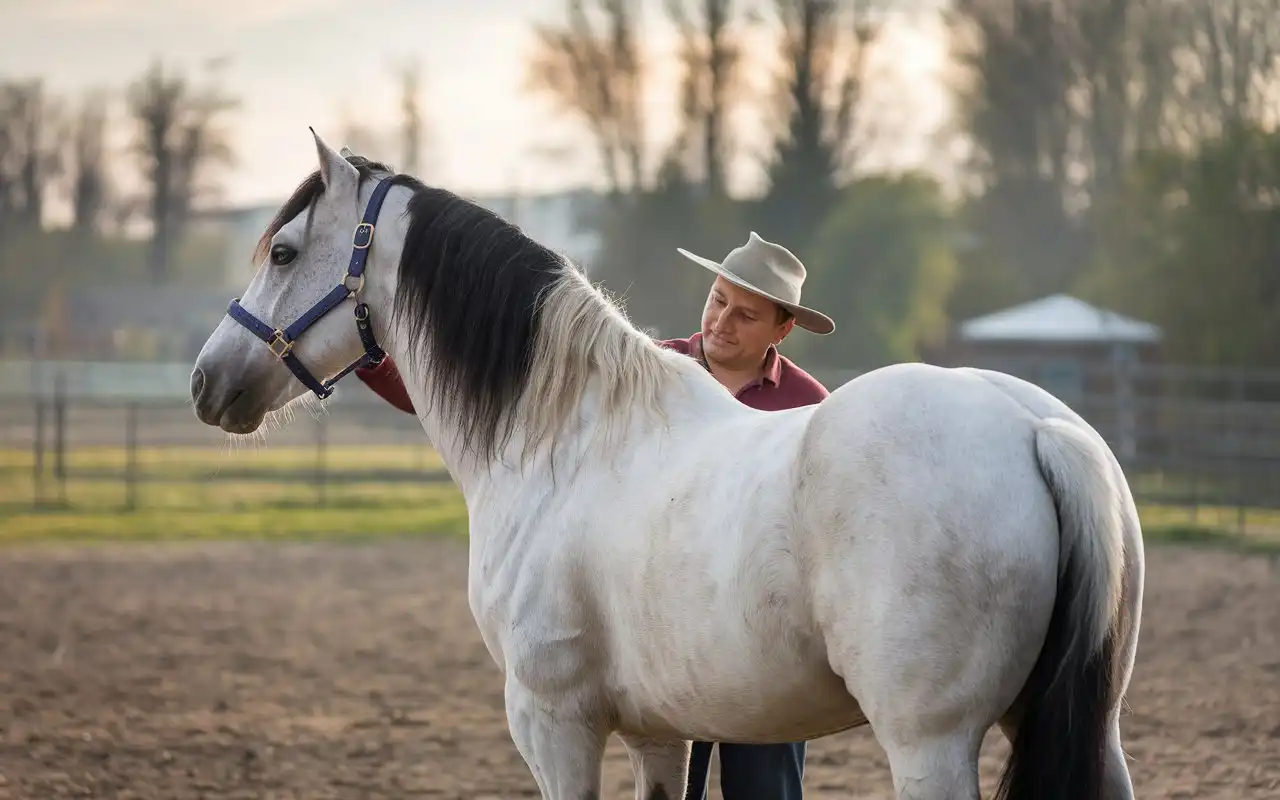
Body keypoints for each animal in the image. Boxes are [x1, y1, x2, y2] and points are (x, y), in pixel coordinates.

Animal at [192, 128, 1152, 793]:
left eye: (284, 252)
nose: (207, 380)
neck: (562, 435)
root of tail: (1038, 430)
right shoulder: (661, 730)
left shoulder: (553, 723)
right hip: (1091, 731)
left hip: (930, 744)